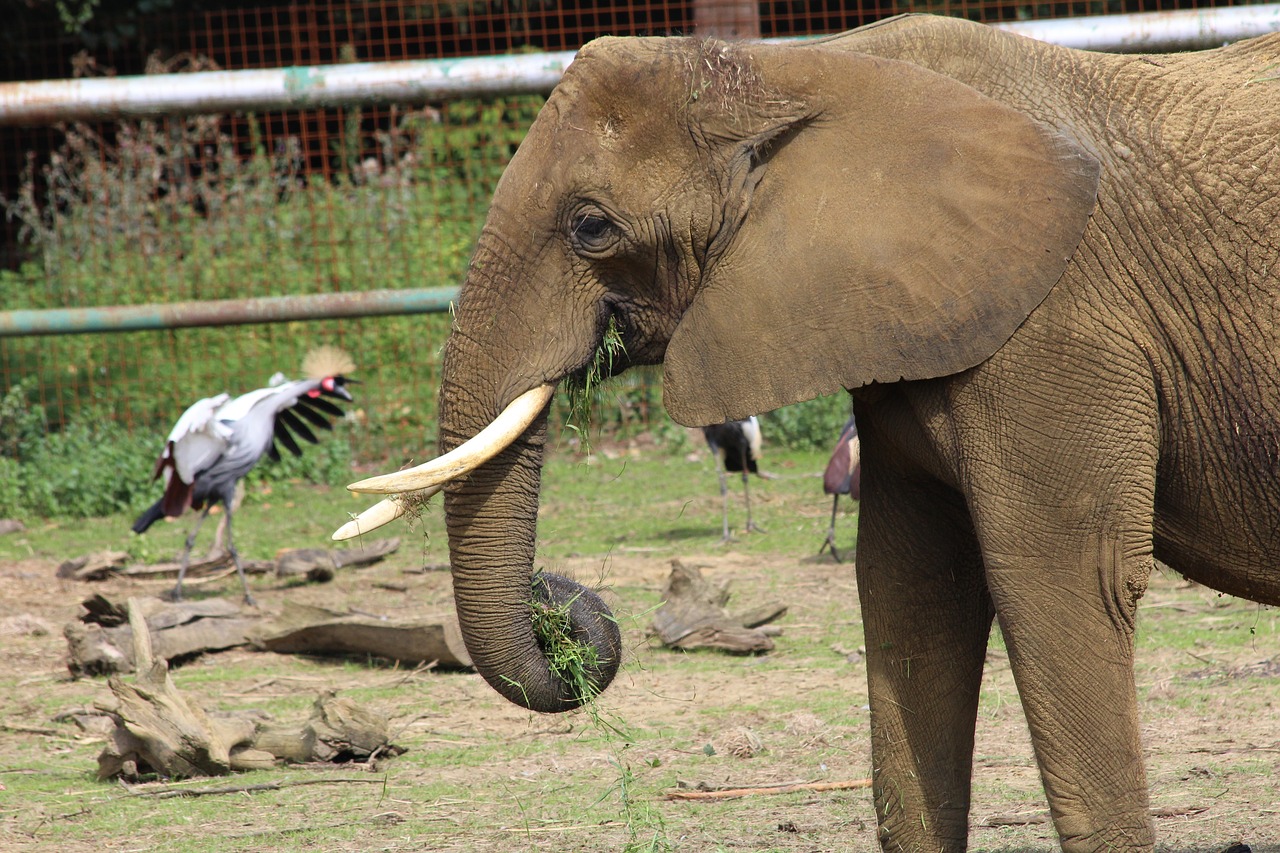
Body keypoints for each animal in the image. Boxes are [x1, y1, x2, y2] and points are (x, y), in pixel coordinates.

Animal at [337, 16, 1280, 850]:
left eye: (592, 226)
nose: (561, 604)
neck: (801, 70)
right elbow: (911, 587)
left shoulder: (1055, 332)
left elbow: (1064, 580)